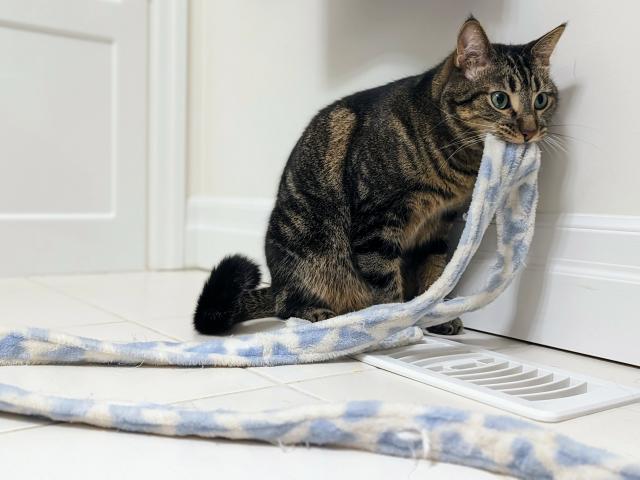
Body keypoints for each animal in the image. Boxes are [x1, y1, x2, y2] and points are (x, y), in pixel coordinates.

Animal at [191, 16, 564, 336]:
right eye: (500, 99)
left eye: (541, 100)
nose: (531, 131)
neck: (456, 160)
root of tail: (276, 282)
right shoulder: (378, 222)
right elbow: (385, 285)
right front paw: (394, 323)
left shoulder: (438, 225)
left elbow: (433, 276)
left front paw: (434, 316)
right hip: (308, 250)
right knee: (287, 306)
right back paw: (319, 313)